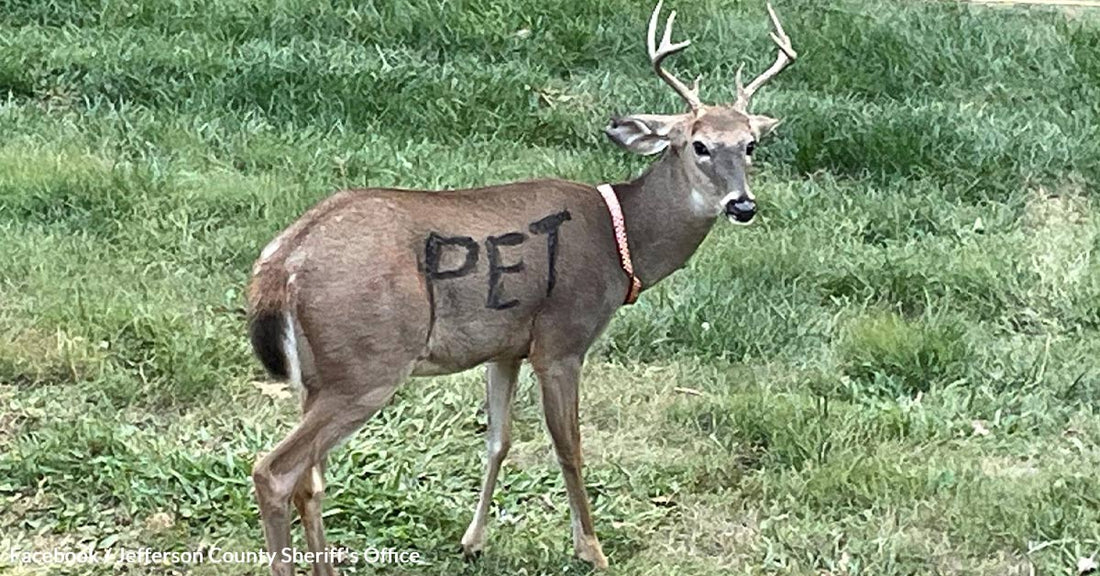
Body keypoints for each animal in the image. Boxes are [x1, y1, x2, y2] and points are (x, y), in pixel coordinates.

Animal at [246, 1, 796, 573]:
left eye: (750, 144)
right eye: (698, 145)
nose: (742, 204)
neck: (620, 239)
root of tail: (280, 263)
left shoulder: (505, 345)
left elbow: (499, 440)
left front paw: (472, 541)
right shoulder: (562, 338)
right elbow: (569, 445)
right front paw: (592, 550)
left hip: (316, 375)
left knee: (309, 478)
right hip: (367, 361)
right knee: (276, 471)